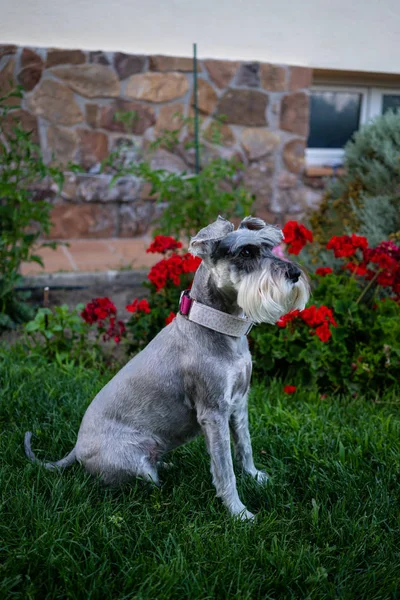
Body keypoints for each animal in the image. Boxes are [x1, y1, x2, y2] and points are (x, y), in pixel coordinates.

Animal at [25, 216, 310, 520]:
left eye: (269, 246)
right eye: (246, 252)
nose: (295, 273)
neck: (216, 326)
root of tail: (76, 450)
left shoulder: (239, 404)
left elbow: (245, 446)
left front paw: (255, 476)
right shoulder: (214, 413)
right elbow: (225, 469)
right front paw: (239, 512)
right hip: (135, 467)